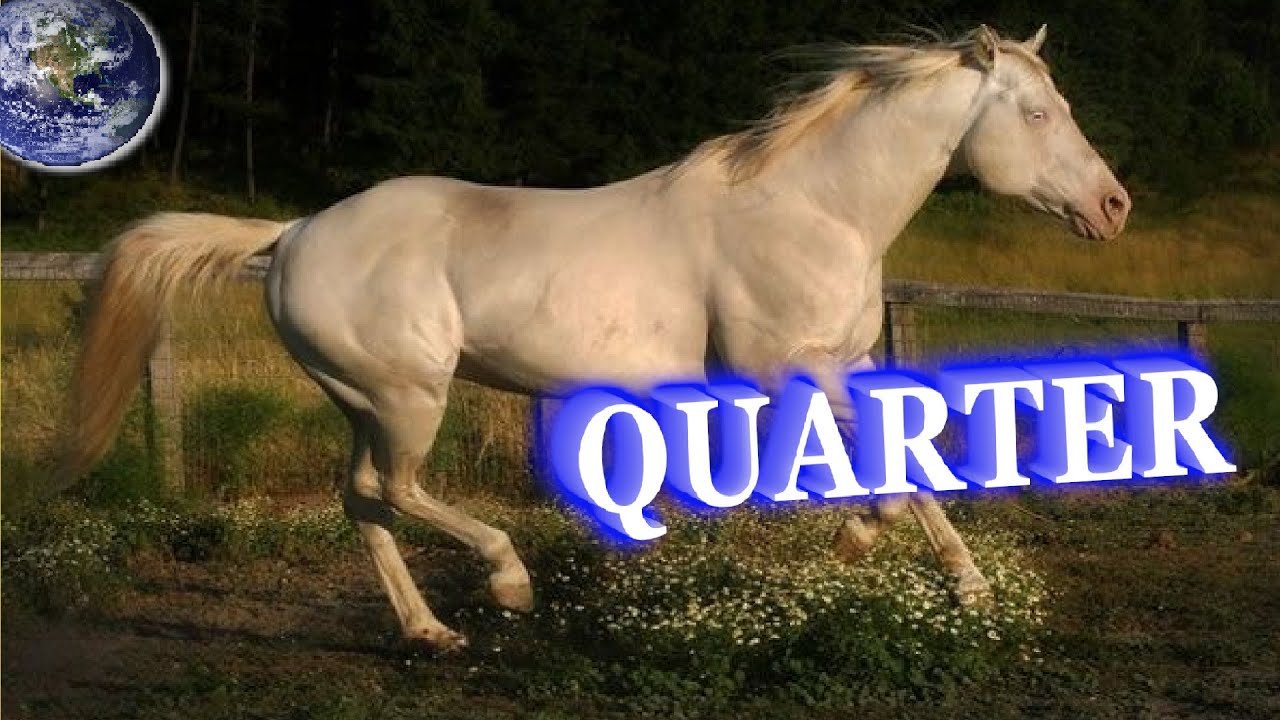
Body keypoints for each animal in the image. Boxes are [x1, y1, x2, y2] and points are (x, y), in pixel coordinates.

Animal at [63, 25, 1129, 651]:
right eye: (1039, 111)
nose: (1112, 207)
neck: (817, 209)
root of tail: (290, 234)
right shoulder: (784, 370)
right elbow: (890, 472)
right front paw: (881, 551)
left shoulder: (850, 362)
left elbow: (906, 456)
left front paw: (946, 577)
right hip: (408, 395)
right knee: (397, 491)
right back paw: (507, 585)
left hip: (362, 398)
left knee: (363, 501)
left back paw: (431, 632)